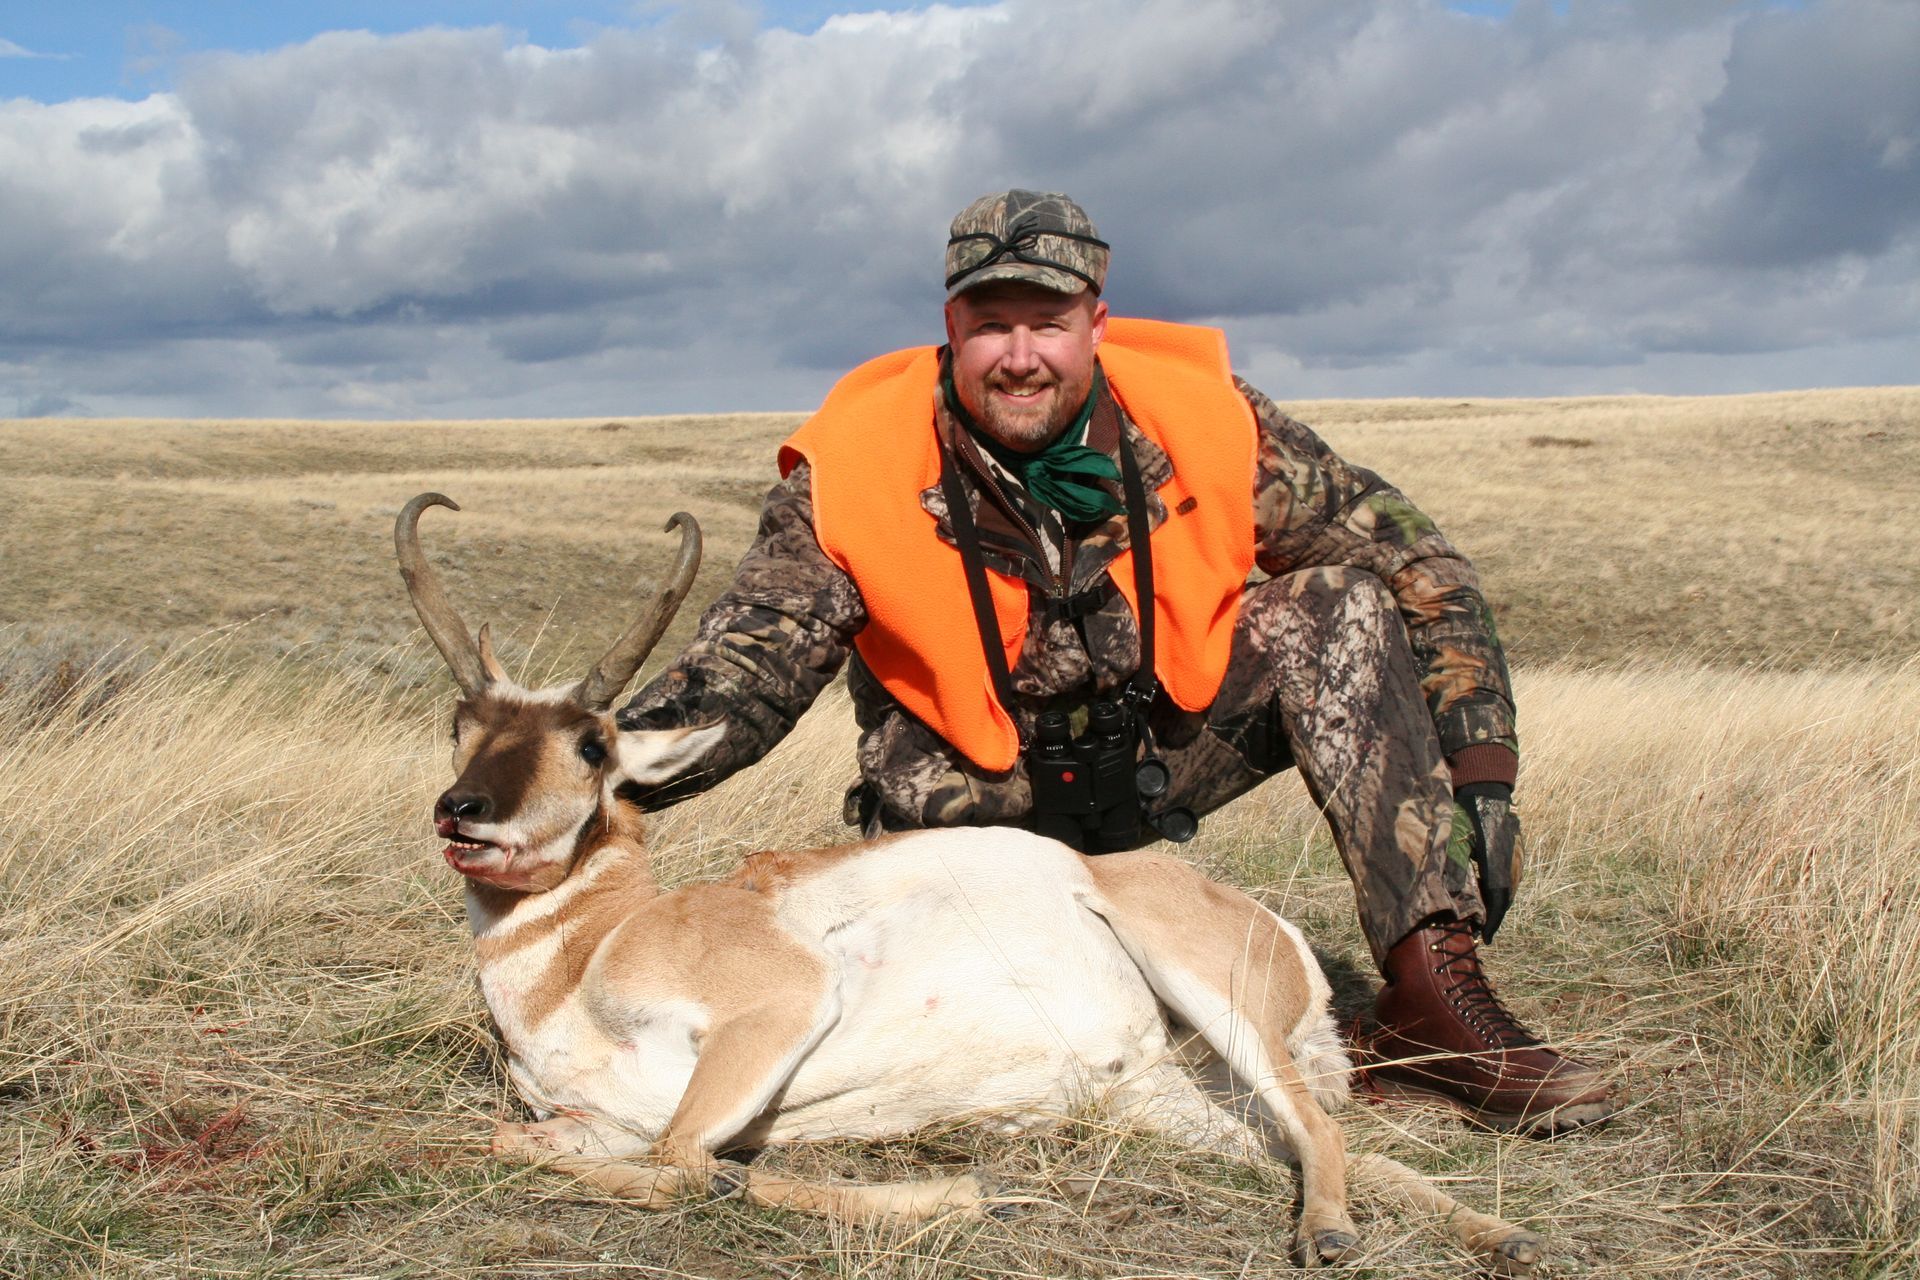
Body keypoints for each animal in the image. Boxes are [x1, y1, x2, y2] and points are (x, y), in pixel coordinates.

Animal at [395, 491, 1546, 1273]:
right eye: (461, 724)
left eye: (592, 744)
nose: (465, 812)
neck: (586, 956)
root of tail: (1272, 932)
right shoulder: (586, 1121)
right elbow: (527, 1138)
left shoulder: (773, 1008)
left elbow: (682, 1160)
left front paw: (951, 1194)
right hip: (1178, 1098)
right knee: (1333, 1144)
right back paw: (1500, 1232)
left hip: (1213, 1001)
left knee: (1324, 1137)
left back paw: (1337, 1235)